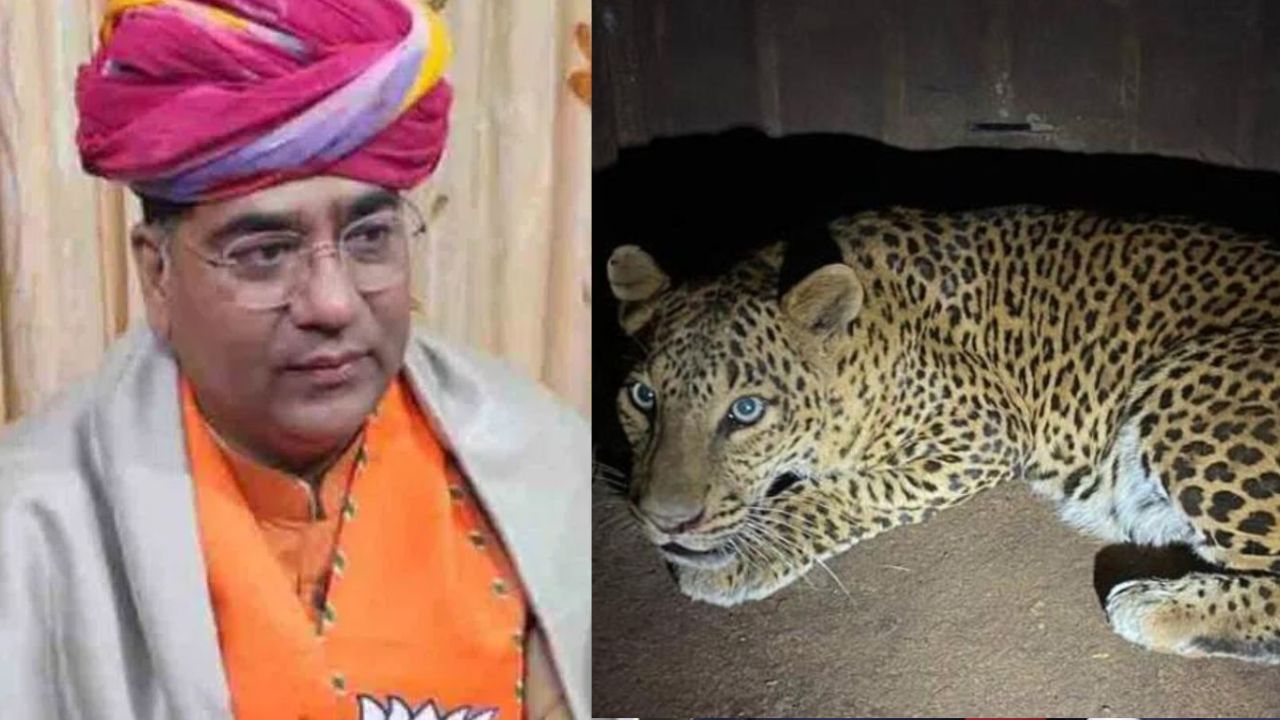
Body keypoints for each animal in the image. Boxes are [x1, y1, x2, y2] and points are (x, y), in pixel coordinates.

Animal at [607, 204, 1280, 664]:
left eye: (745, 411)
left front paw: (738, 557)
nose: (666, 521)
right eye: (644, 398)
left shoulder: (985, 429)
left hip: (1188, 383)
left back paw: (1153, 604)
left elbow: (845, 493)